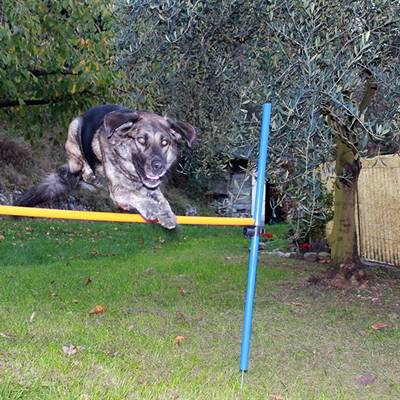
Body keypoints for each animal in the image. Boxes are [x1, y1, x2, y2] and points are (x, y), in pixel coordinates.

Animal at [14, 104, 197, 228]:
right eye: (141, 140)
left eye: (165, 142)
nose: (159, 166)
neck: (132, 174)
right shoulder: (117, 192)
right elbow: (134, 195)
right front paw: (150, 207)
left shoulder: (152, 188)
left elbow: (162, 199)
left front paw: (167, 214)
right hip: (74, 129)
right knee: (81, 165)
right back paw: (90, 173)